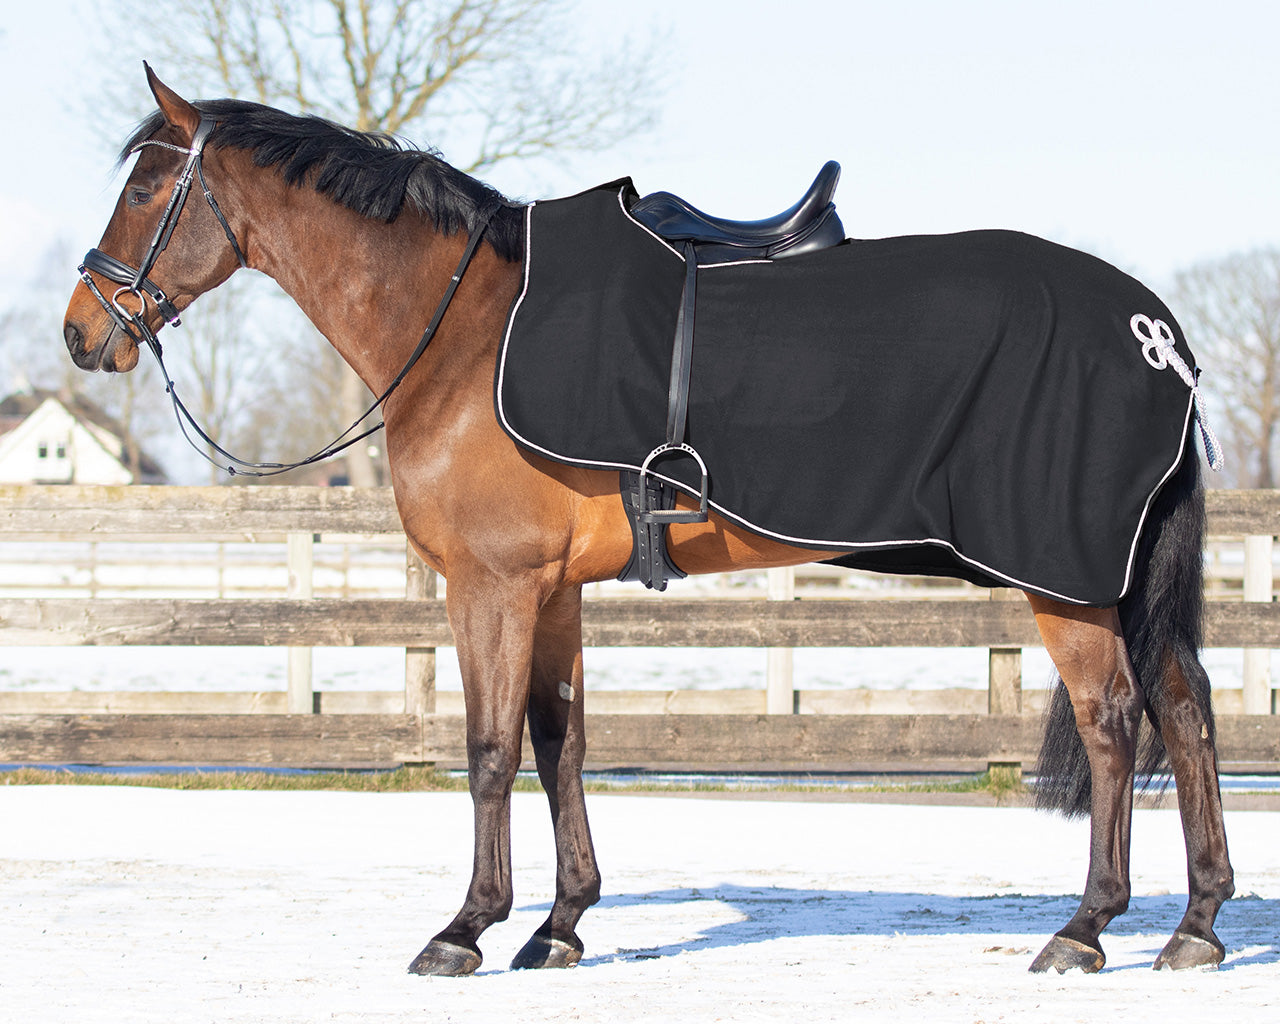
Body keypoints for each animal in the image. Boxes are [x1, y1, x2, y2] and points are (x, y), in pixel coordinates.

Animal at [63, 66, 1234, 977]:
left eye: (147, 185)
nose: (82, 331)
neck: (463, 328)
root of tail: (1153, 330)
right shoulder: (552, 590)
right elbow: (561, 742)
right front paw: (560, 924)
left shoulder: (490, 584)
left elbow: (489, 748)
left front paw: (466, 928)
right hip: (1118, 577)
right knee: (1183, 709)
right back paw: (1195, 924)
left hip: (1065, 576)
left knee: (1113, 720)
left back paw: (1084, 930)